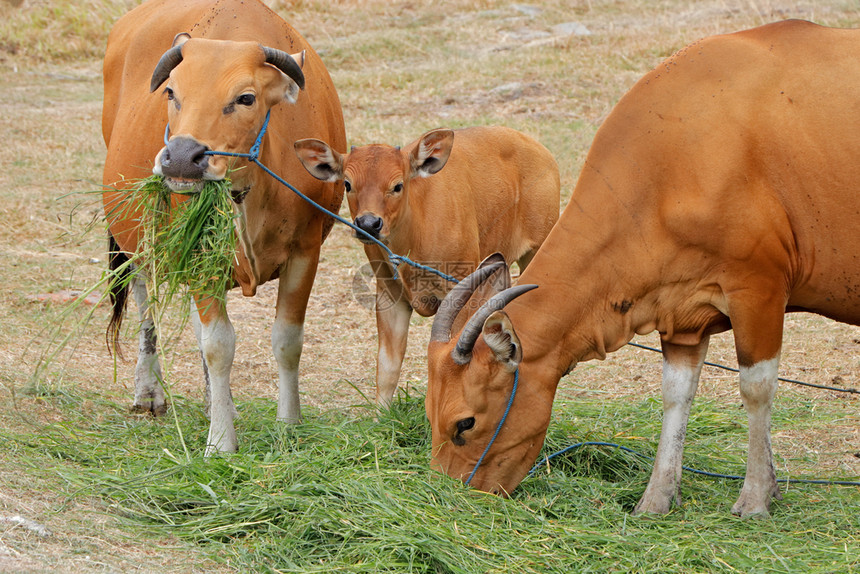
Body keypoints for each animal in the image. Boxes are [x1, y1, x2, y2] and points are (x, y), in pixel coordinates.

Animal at [101, 0, 342, 456]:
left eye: (245, 98)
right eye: (171, 92)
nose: (181, 158)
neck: (249, 193)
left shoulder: (306, 251)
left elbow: (287, 341)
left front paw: (288, 423)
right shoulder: (199, 255)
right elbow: (218, 345)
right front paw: (220, 442)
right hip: (136, 235)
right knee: (145, 299)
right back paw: (149, 391)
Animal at [296, 128, 560, 408]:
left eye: (397, 185)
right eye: (347, 184)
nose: (368, 224)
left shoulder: (460, 290)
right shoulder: (390, 294)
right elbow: (388, 366)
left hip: (538, 248)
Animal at [424, 20, 860, 520]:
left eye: (464, 424)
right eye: (429, 416)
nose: (449, 494)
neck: (677, 158)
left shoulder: (759, 290)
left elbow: (756, 389)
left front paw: (754, 498)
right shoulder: (681, 312)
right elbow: (676, 395)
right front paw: (656, 499)